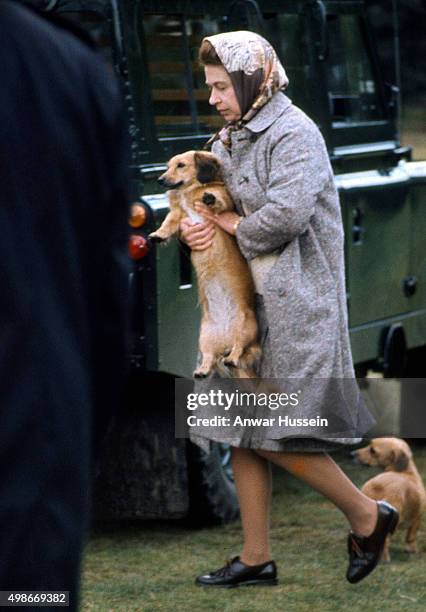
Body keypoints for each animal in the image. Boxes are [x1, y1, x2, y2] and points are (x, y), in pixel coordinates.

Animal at [150, 149, 262, 378]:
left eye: (181, 165)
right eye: (168, 166)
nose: (160, 180)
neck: (187, 193)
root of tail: (225, 340)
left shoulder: (224, 202)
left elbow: (219, 199)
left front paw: (209, 197)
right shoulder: (178, 216)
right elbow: (168, 223)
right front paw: (158, 235)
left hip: (246, 328)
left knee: (239, 349)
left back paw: (232, 358)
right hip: (204, 339)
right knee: (210, 358)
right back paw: (202, 370)